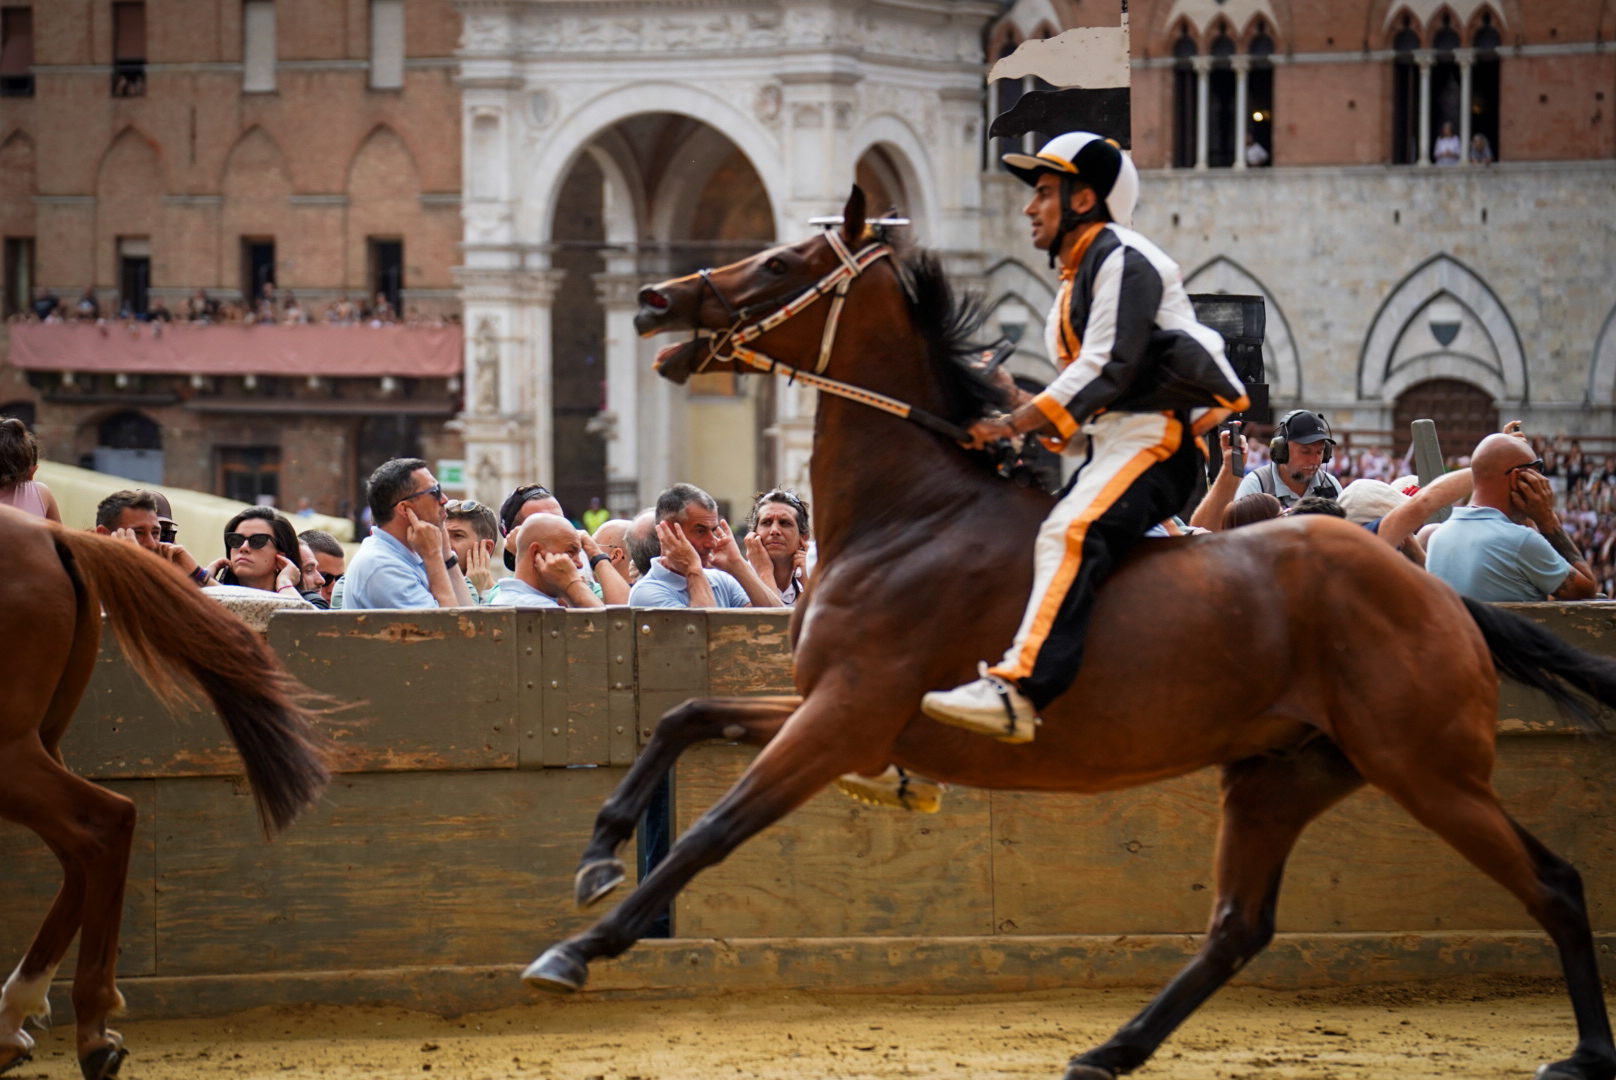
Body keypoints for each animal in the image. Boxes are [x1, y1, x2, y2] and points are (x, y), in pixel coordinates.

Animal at [0, 507, 331, 1080]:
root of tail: (52, 536)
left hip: (13, 750)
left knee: (103, 825)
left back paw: (86, 1032)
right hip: (40, 740)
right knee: (80, 850)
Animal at [526, 187, 1616, 1080]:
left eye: (784, 263)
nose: (655, 300)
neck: (911, 514)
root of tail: (1428, 590)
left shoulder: (842, 716)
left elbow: (712, 828)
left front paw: (580, 946)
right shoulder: (841, 711)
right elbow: (682, 715)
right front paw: (597, 855)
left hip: (1424, 768)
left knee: (1555, 882)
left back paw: (1584, 1052)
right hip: (1285, 774)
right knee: (1236, 928)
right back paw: (1108, 1050)